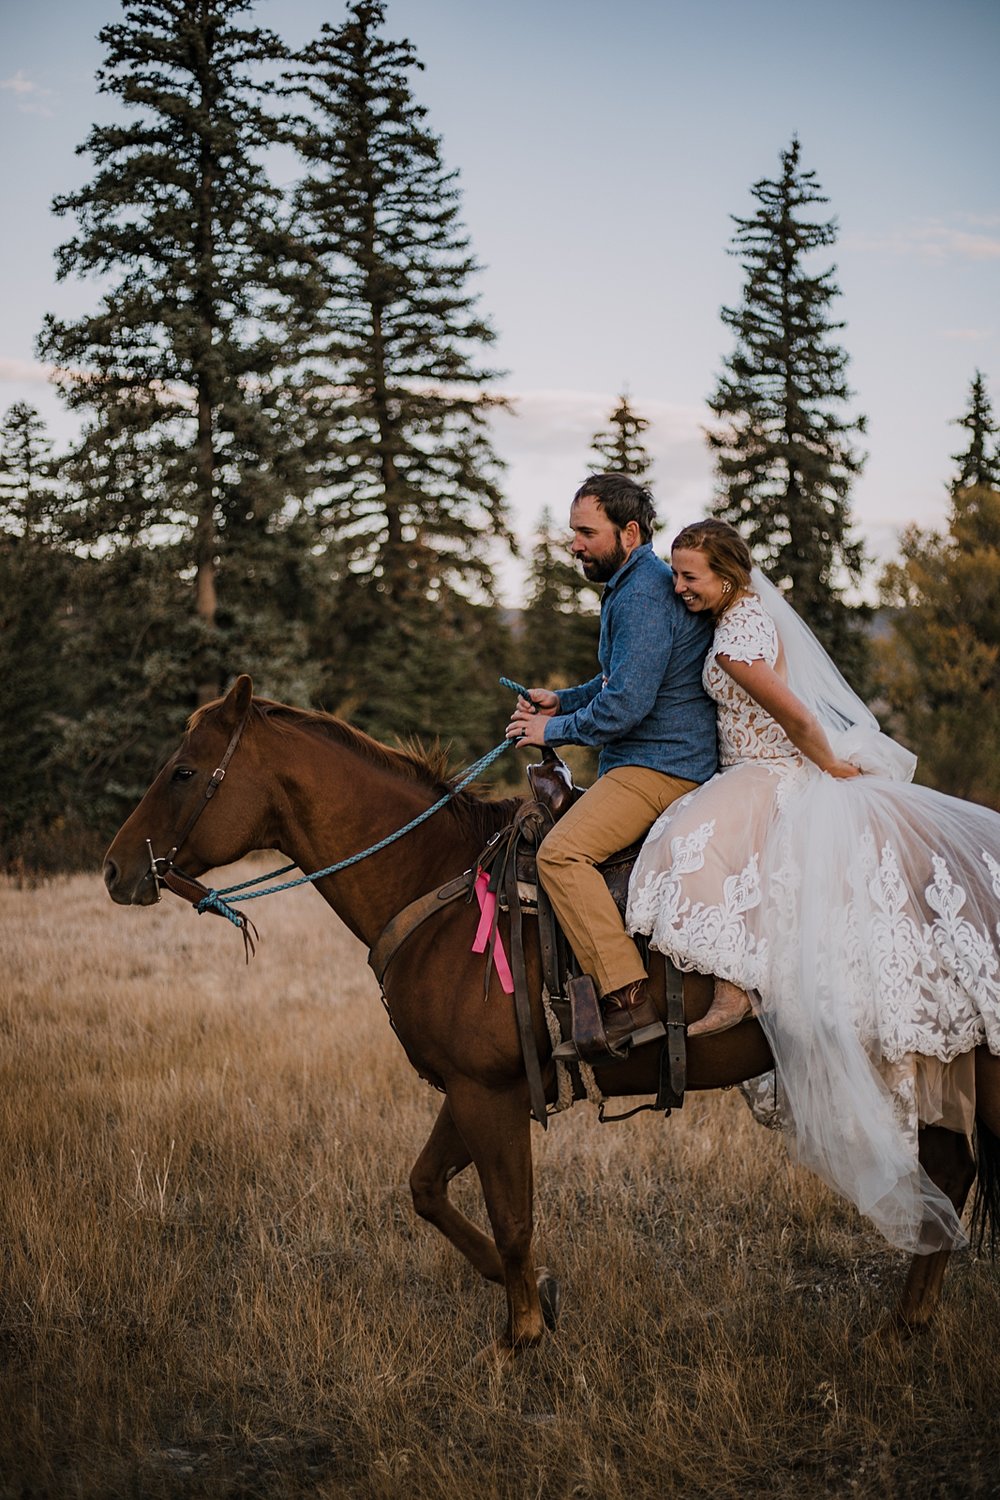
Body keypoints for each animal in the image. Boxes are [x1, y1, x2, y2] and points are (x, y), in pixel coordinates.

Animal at [105, 675, 1000, 1356]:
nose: (116, 870)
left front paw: (523, 1336)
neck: (437, 883)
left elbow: (510, 1215)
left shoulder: (489, 1092)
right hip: (938, 1052)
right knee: (950, 1171)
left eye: (183, 771)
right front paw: (535, 1293)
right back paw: (903, 1326)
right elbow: (426, 1190)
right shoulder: (470, 1088)